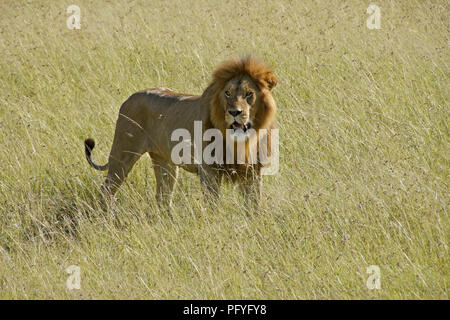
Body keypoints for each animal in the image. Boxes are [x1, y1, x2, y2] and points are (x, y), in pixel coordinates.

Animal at [82, 55, 276, 210]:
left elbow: (254, 205)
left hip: (165, 162)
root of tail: (129, 98)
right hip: (123, 155)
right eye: (227, 93)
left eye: (249, 94)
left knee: (162, 196)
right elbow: (213, 204)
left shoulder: (253, 171)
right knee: (107, 189)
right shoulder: (208, 170)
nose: (234, 112)